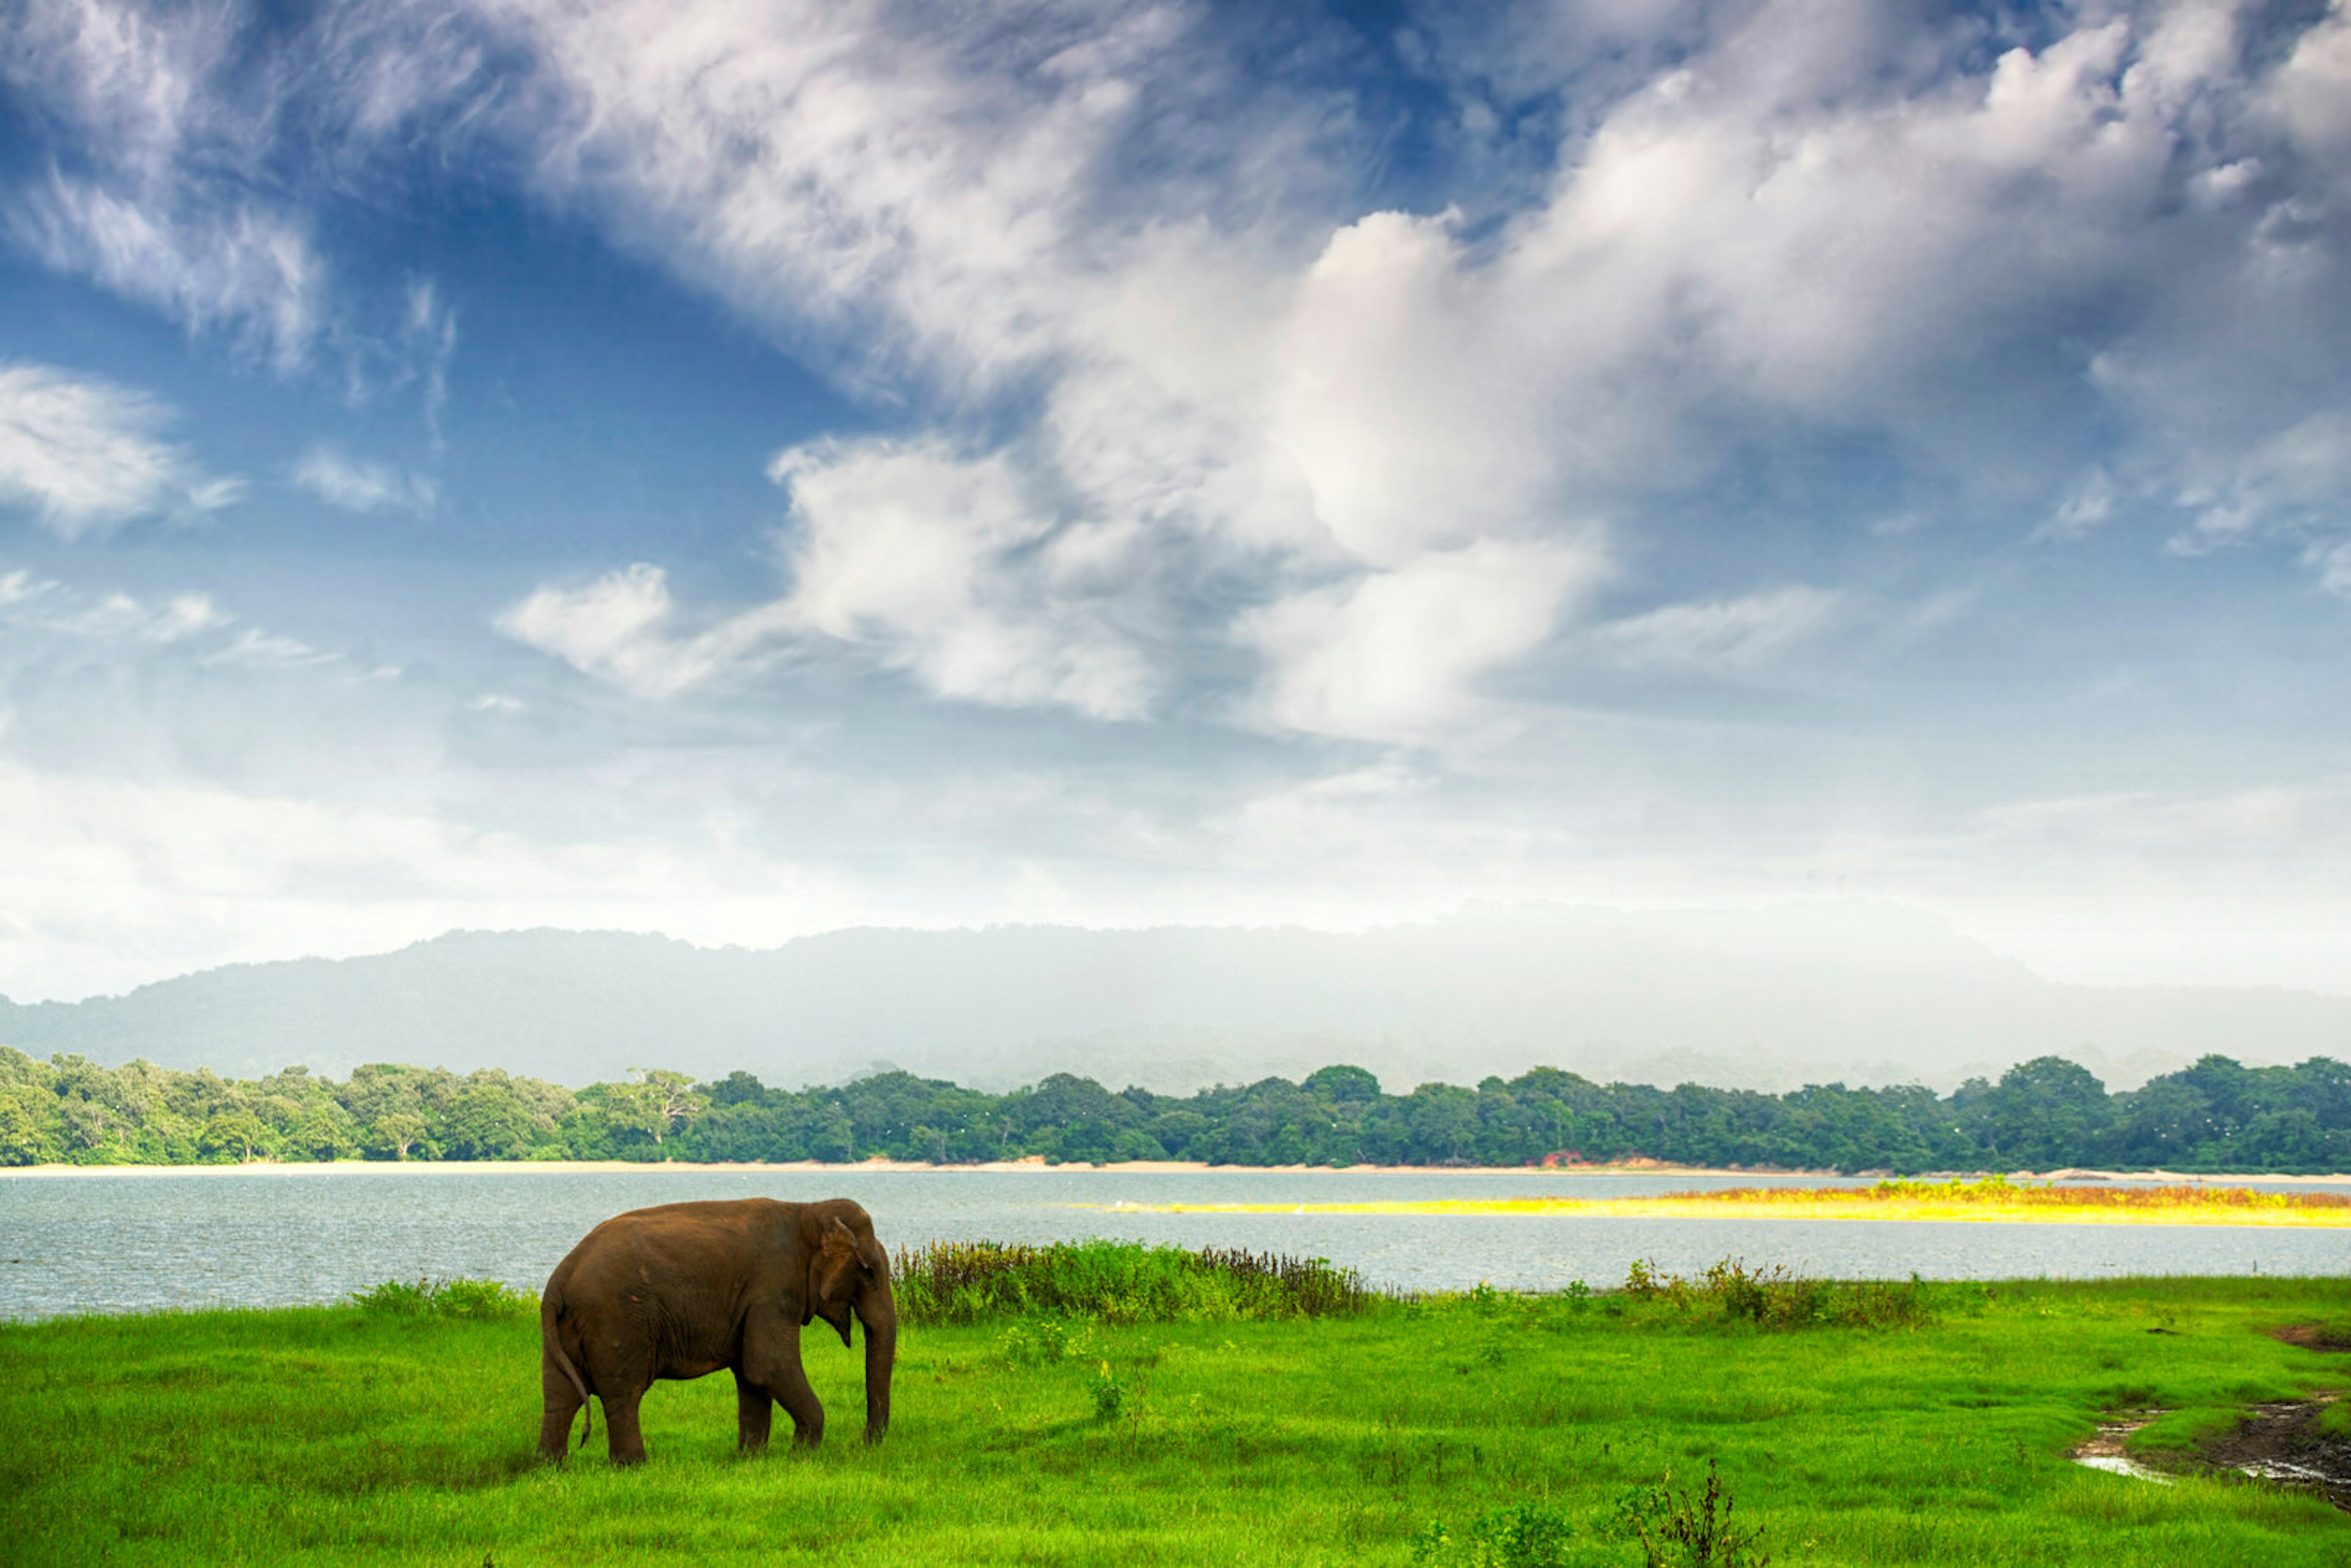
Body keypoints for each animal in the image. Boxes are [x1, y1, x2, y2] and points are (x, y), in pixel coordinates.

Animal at [538, 1194, 893, 1466]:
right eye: (869, 1272)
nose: (860, 1443)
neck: (808, 1210)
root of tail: (561, 1276)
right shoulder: (773, 1289)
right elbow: (768, 1366)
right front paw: (800, 1457)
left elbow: (752, 1376)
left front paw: (751, 1460)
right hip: (617, 1321)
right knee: (623, 1394)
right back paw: (633, 1466)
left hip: (567, 1328)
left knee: (560, 1394)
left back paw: (552, 1468)